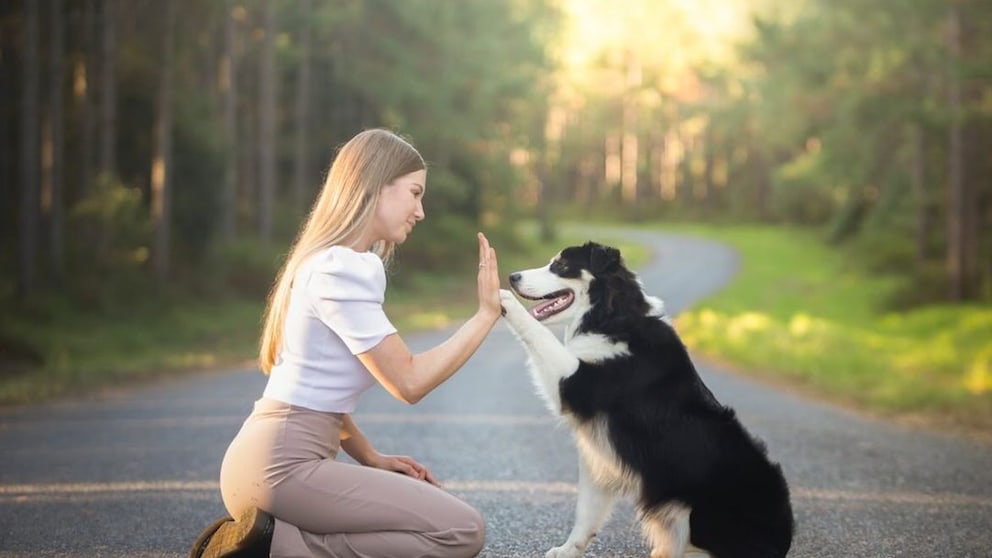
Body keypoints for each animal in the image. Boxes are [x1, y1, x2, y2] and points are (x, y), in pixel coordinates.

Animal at [500, 243, 796, 558]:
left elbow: (541, 335)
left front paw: (502, 298)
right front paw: (567, 550)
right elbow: (586, 514)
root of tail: (782, 541)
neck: (609, 317)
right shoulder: (598, 456)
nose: (512, 277)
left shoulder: (577, 383)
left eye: (561, 266)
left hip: (704, 510)